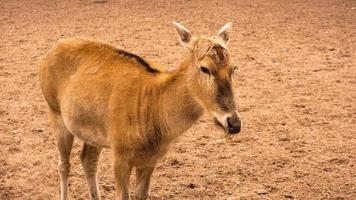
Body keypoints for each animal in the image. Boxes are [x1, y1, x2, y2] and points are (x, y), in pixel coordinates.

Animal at [39, 21, 242, 200]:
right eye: (205, 68)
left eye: (233, 68)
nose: (234, 123)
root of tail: (50, 52)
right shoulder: (119, 154)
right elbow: (123, 196)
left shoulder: (151, 160)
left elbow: (141, 195)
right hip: (55, 112)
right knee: (64, 165)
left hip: (92, 131)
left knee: (87, 160)